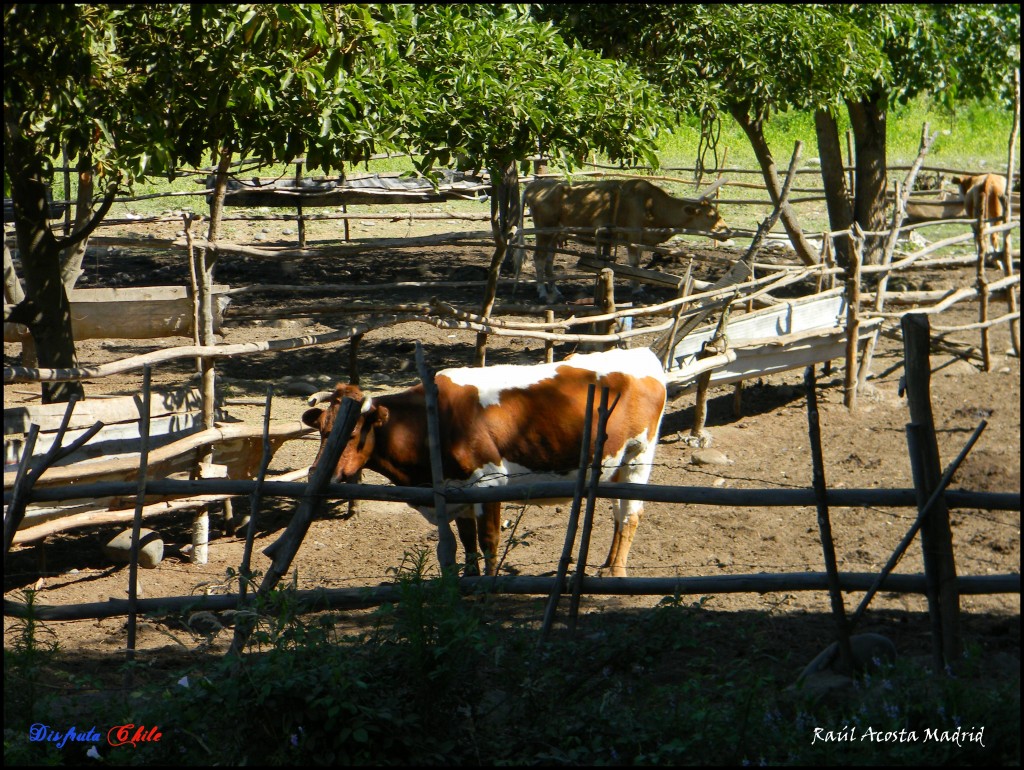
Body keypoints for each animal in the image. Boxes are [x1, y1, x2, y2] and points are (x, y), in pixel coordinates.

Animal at [301, 348, 671, 577]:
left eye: (351, 433)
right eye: (322, 430)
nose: (317, 472)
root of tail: (641, 354)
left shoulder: (490, 481)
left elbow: (488, 541)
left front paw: (489, 585)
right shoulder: (458, 489)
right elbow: (466, 542)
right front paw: (469, 578)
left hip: (639, 455)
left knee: (631, 514)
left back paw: (617, 572)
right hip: (615, 464)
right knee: (618, 512)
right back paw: (605, 565)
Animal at [524, 179, 733, 303]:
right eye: (711, 215)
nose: (727, 231)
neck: (650, 204)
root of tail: (535, 185)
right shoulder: (634, 237)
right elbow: (635, 263)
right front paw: (637, 289)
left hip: (554, 235)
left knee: (549, 260)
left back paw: (555, 290)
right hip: (544, 232)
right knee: (539, 258)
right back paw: (542, 291)